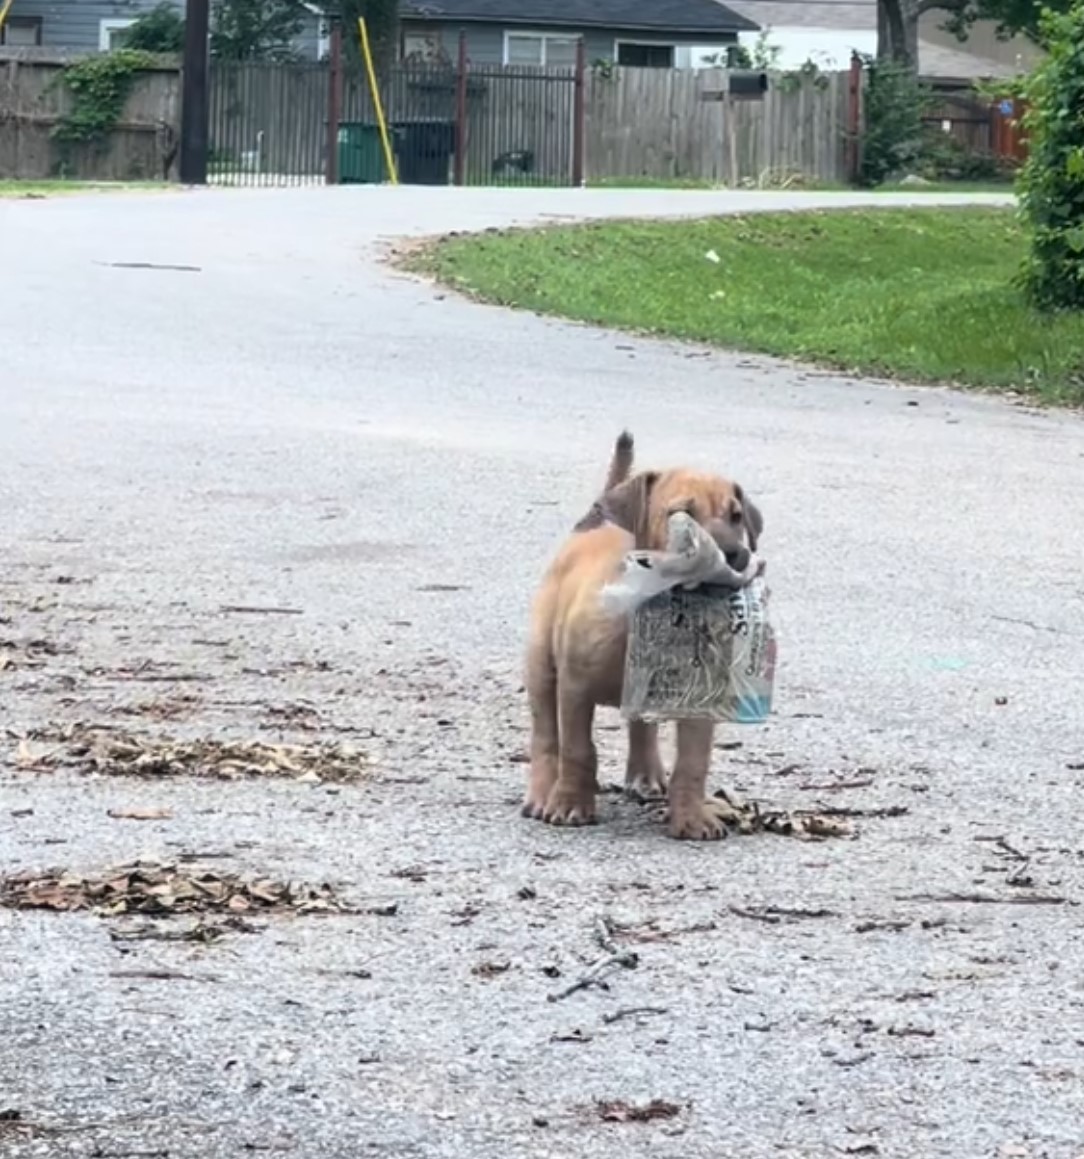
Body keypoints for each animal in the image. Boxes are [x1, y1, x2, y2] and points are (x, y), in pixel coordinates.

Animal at [524, 435, 765, 843]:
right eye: (681, 514)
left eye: (736, 516)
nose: (733, 554)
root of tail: (590, 525)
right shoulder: (575, 687)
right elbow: (576, 749)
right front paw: (571, 804)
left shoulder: (700, 702)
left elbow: (692, 763)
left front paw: (691, 818)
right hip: (540, 664)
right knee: (545, 737)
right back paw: (542, 794)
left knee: (642, 728)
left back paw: (647, 775)